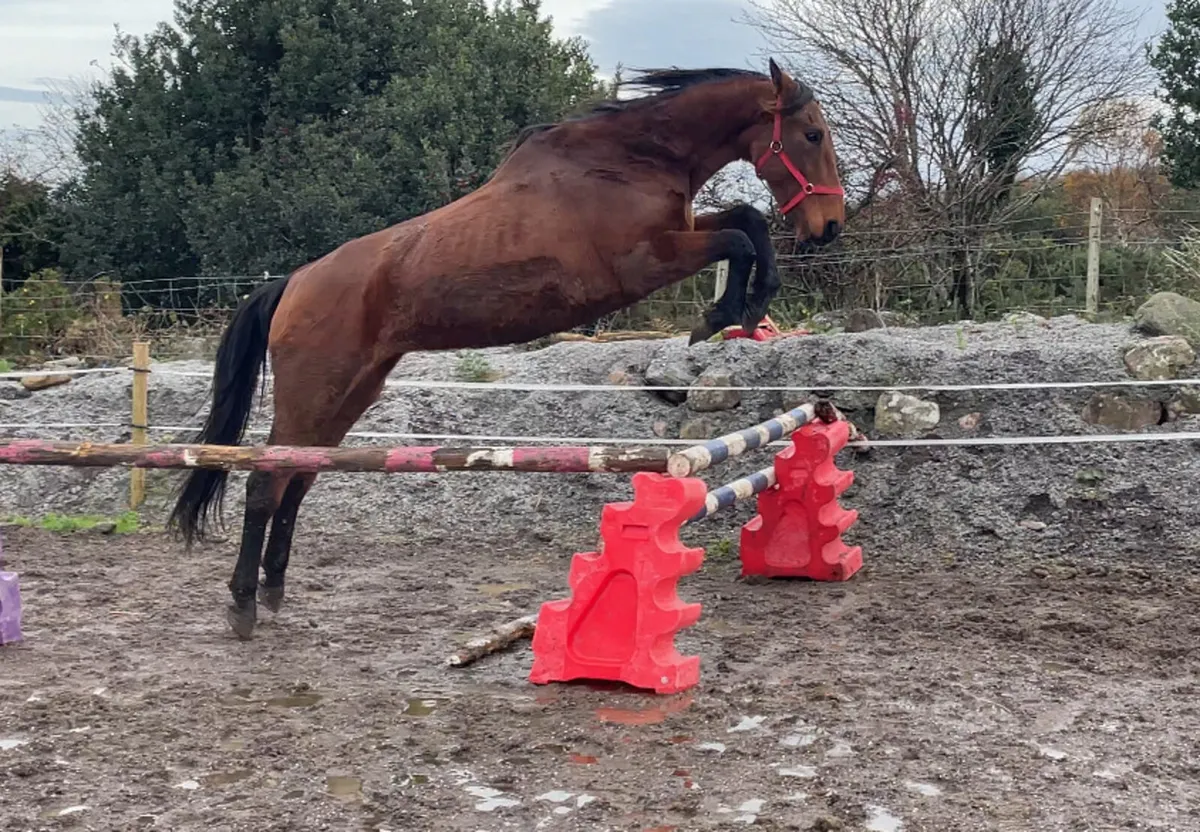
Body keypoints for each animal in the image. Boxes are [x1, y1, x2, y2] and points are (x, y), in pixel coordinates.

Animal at [169, 58, 845, 639]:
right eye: (811, 134)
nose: (829, 228)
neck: (630, 160)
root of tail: (293, 282)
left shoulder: (677, 235)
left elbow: (745, 220)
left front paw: (744, 308)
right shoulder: (645, 262)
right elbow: (740, 235)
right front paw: (728, 314)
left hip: (352, 393)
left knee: (297, 480)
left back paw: (274, 590)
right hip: (313, 391)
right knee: (266, 482)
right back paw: (244, 605)